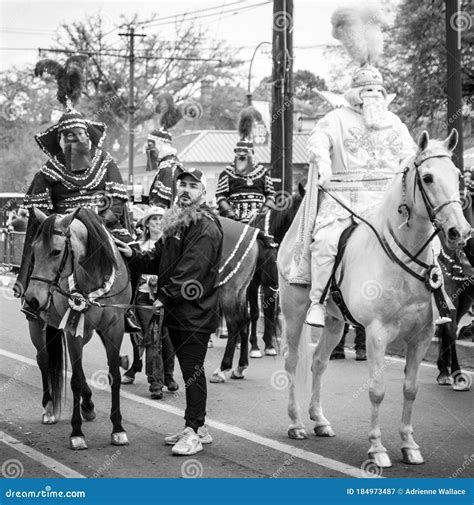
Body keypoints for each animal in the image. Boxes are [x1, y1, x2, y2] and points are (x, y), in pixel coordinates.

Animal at [278, 128, 470, 466]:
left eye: (458, 175)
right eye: (428, 177)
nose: (460, 232)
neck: (404, 260)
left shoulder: (421, 336)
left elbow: (410, 389)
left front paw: (409, 445)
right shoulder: (377, 334)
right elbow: (377, 390)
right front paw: (377, 449)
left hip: (334, 322)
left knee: (318, 362)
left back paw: (320, 421)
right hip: (294, 313)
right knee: (291, 363)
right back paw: (297, 423)